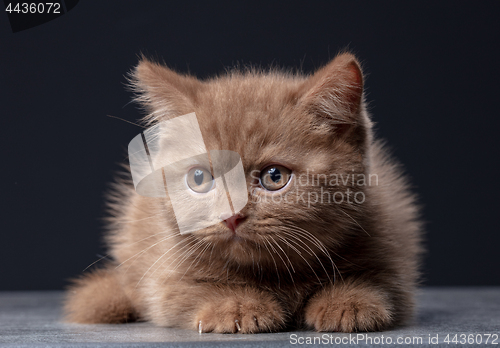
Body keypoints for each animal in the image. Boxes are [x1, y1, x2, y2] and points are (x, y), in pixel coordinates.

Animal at [62, 53, 422, 334]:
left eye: (274, 177)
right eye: (199, 178)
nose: (231, 216)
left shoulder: (391, 237)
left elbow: (382, 282)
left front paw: (349, 301)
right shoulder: (163, 273)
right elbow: (182, 293)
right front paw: (235, 306)